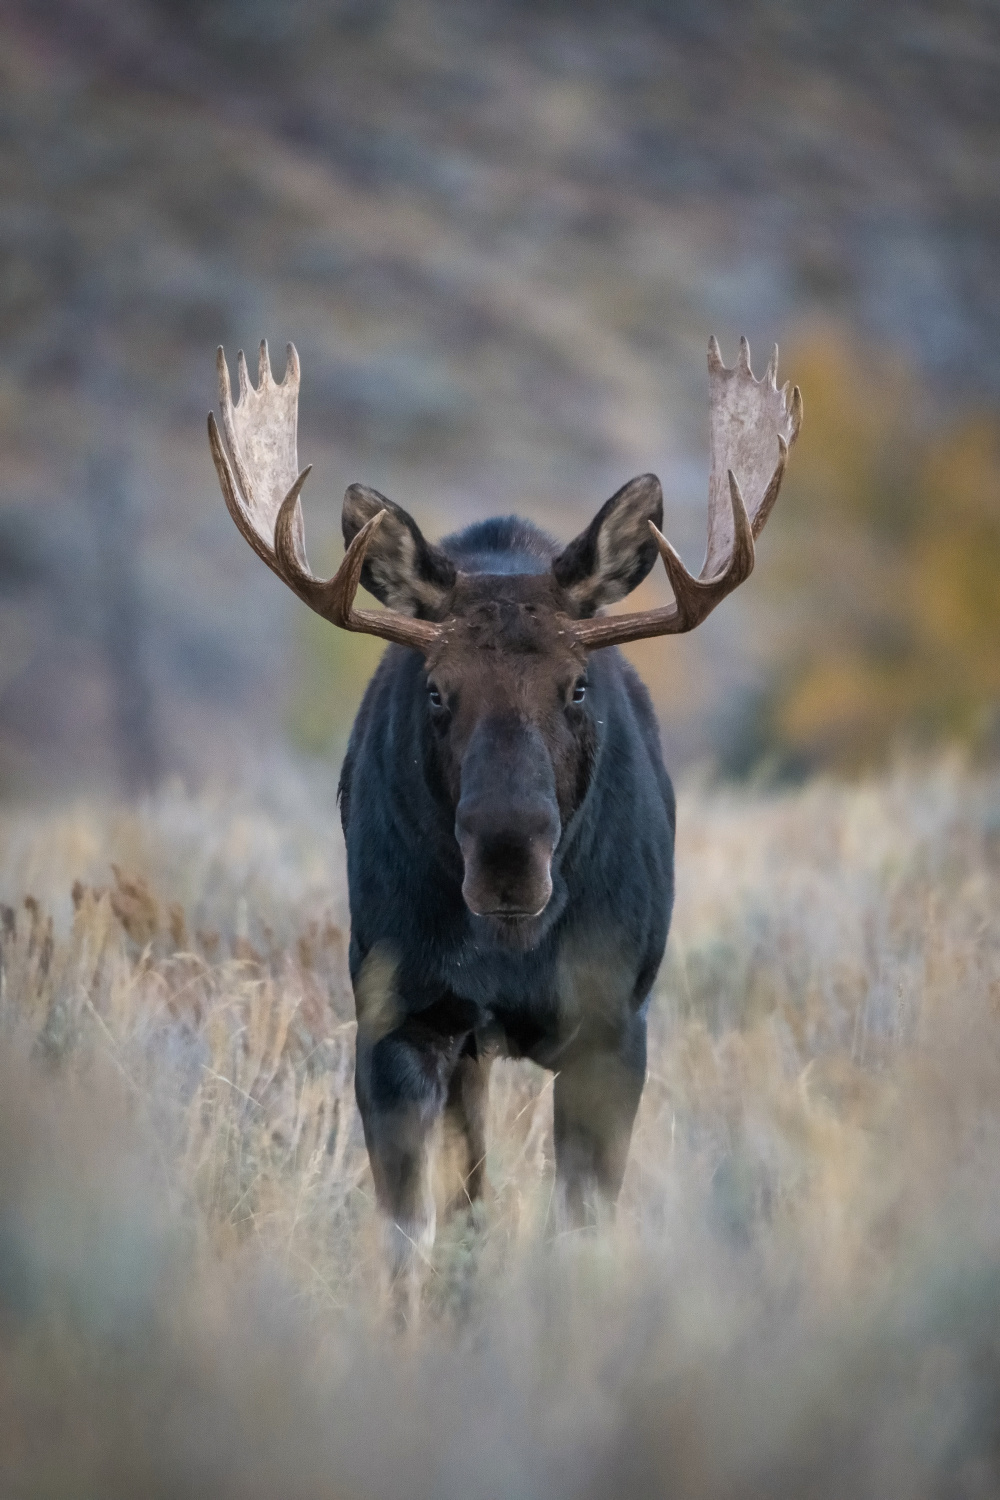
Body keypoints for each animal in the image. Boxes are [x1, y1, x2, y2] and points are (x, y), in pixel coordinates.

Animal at [206, 334, 803, 1296]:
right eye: (436, 690)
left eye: (578, 686)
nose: (508, 863)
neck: (513, 952)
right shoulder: (400, 1018)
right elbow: (414, 1234)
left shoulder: (614, 1025)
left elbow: (583, 1227)